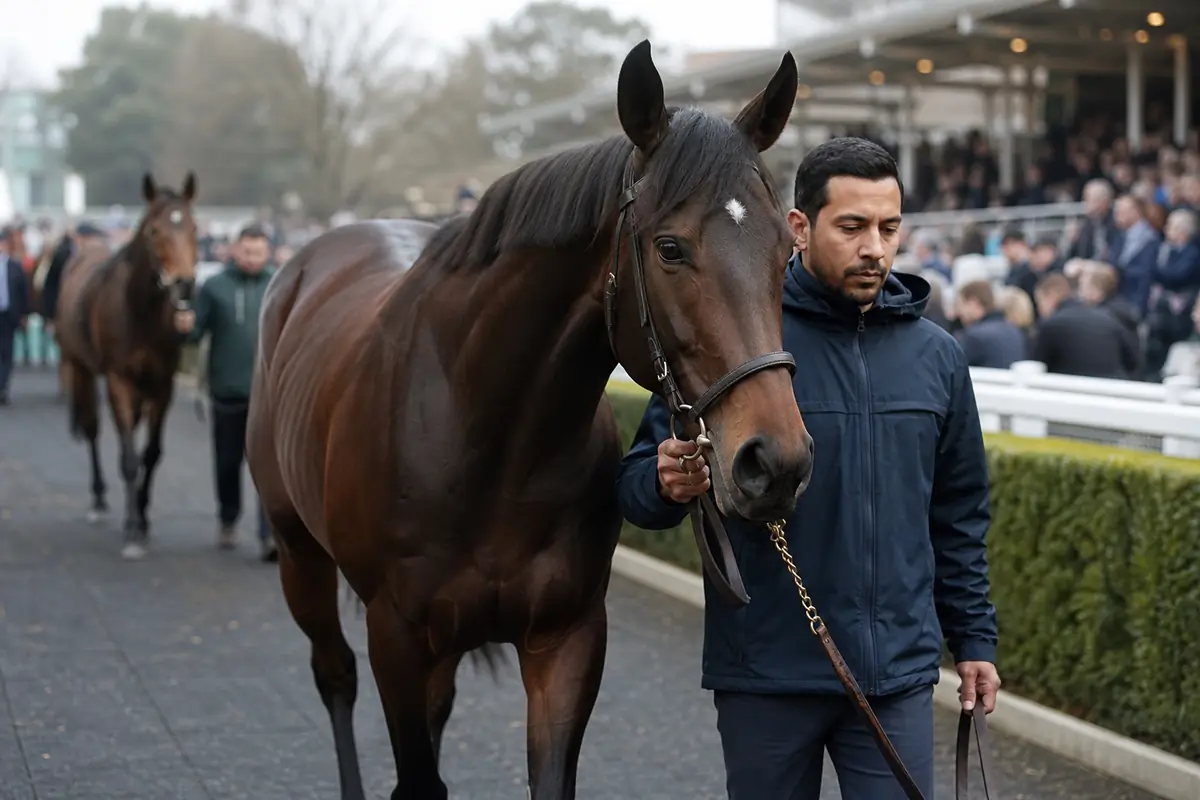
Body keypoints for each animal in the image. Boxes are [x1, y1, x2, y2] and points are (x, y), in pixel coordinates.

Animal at [54, 172, 198, 560]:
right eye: (154, 231)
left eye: (194, 227)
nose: (185, 284)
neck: (140, 312)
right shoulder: (119, 379)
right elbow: (131, 458)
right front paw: (132, 531)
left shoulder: (161, 383)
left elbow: (151, 454)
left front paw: (143, 519)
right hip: (79, 366)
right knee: (92, 429)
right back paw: (99, 498)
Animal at [245, 40, 812, 800]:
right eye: (669, 247)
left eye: (786, 248)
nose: (775, 462)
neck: (483, 440)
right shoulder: (396, 634)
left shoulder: (567, 635)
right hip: (299, 553)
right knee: (334, 675)